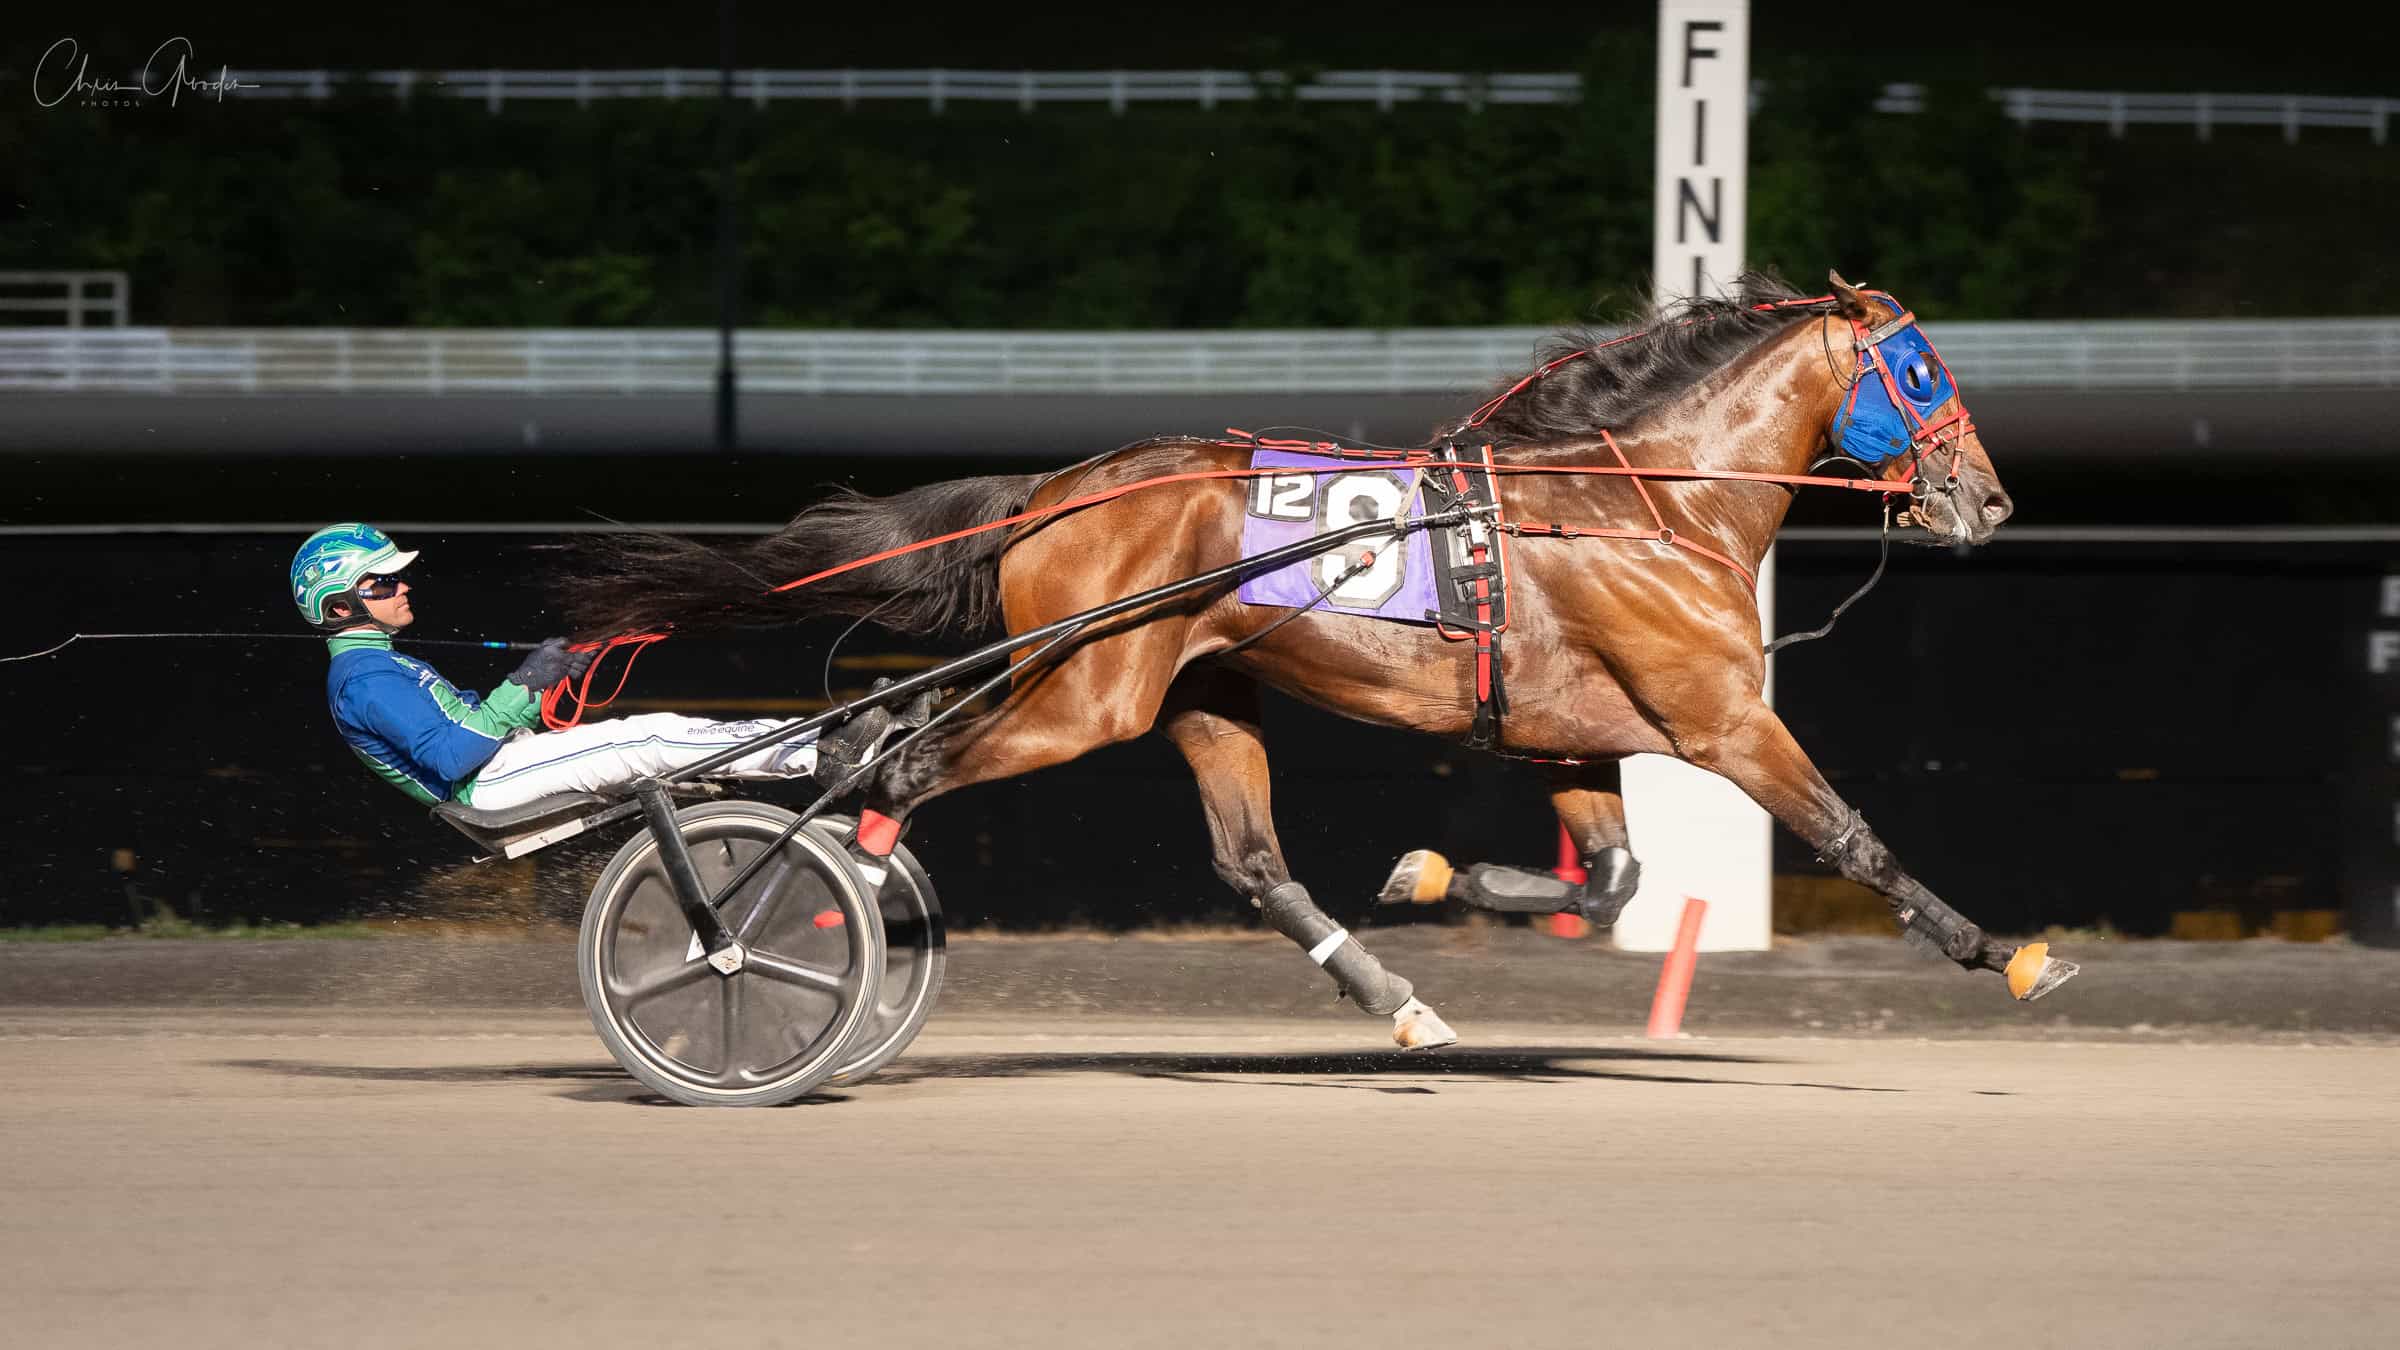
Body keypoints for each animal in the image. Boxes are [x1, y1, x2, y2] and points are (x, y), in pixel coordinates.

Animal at [559, 269, 2075, 1051]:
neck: (1646, 498)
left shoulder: (1576, 729)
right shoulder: (1719, 722)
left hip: (1199, 692)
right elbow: (1855, 836)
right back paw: (756, 940)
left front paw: (1439, 876)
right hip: (1086, 692)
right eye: (1924, 373)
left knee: (1243, 859)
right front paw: (2004, 952)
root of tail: (1056, 488)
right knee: (898, 768)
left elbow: (1613, 876)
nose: (1992, 500)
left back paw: (1396, 1002)